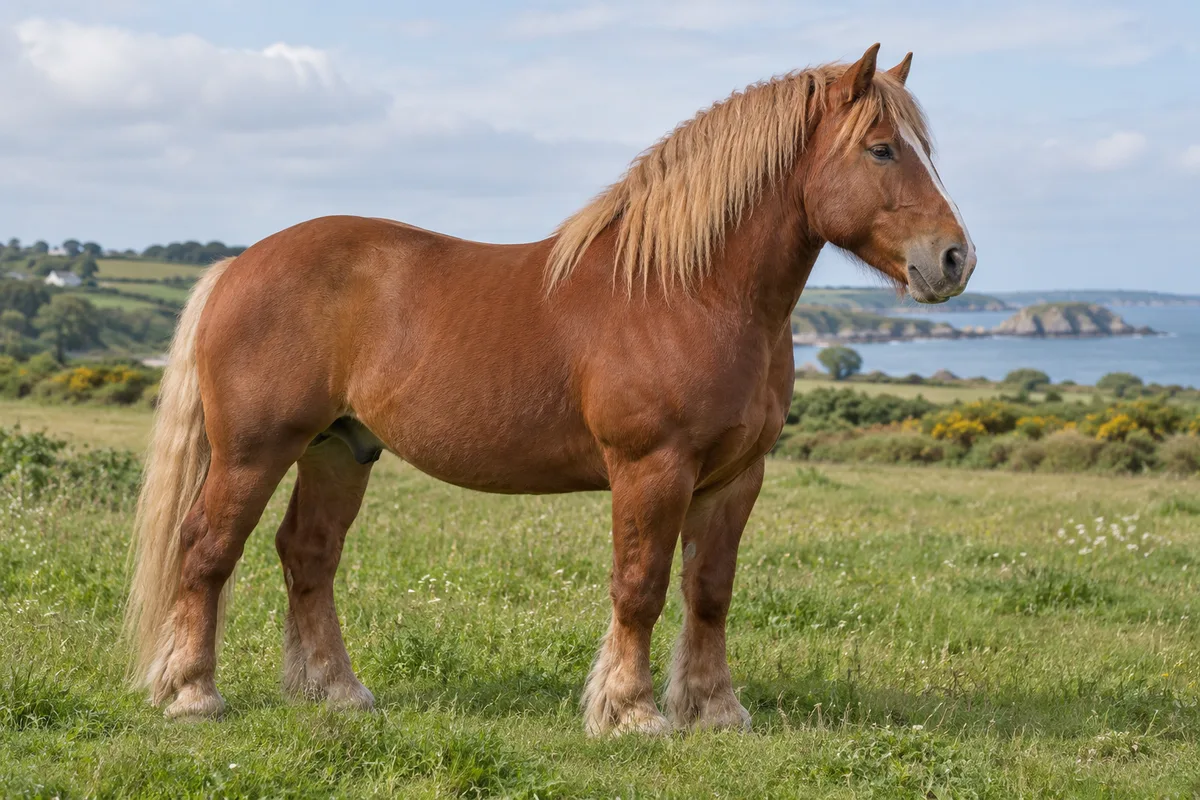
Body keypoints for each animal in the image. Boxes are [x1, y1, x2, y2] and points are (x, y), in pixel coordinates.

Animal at [125, 44, 976, 735]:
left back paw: (338, 692)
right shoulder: (652, 469)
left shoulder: (735, 479)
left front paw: (714, 710)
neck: (687, 292)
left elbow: (710, 590)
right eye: (881, 149)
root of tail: (238, 265)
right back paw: (192, 694)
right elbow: (640, 586)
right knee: (206, 549)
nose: (954, 259)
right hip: (255, 451)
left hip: (339, 450)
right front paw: (630, 713)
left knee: (308, 555)